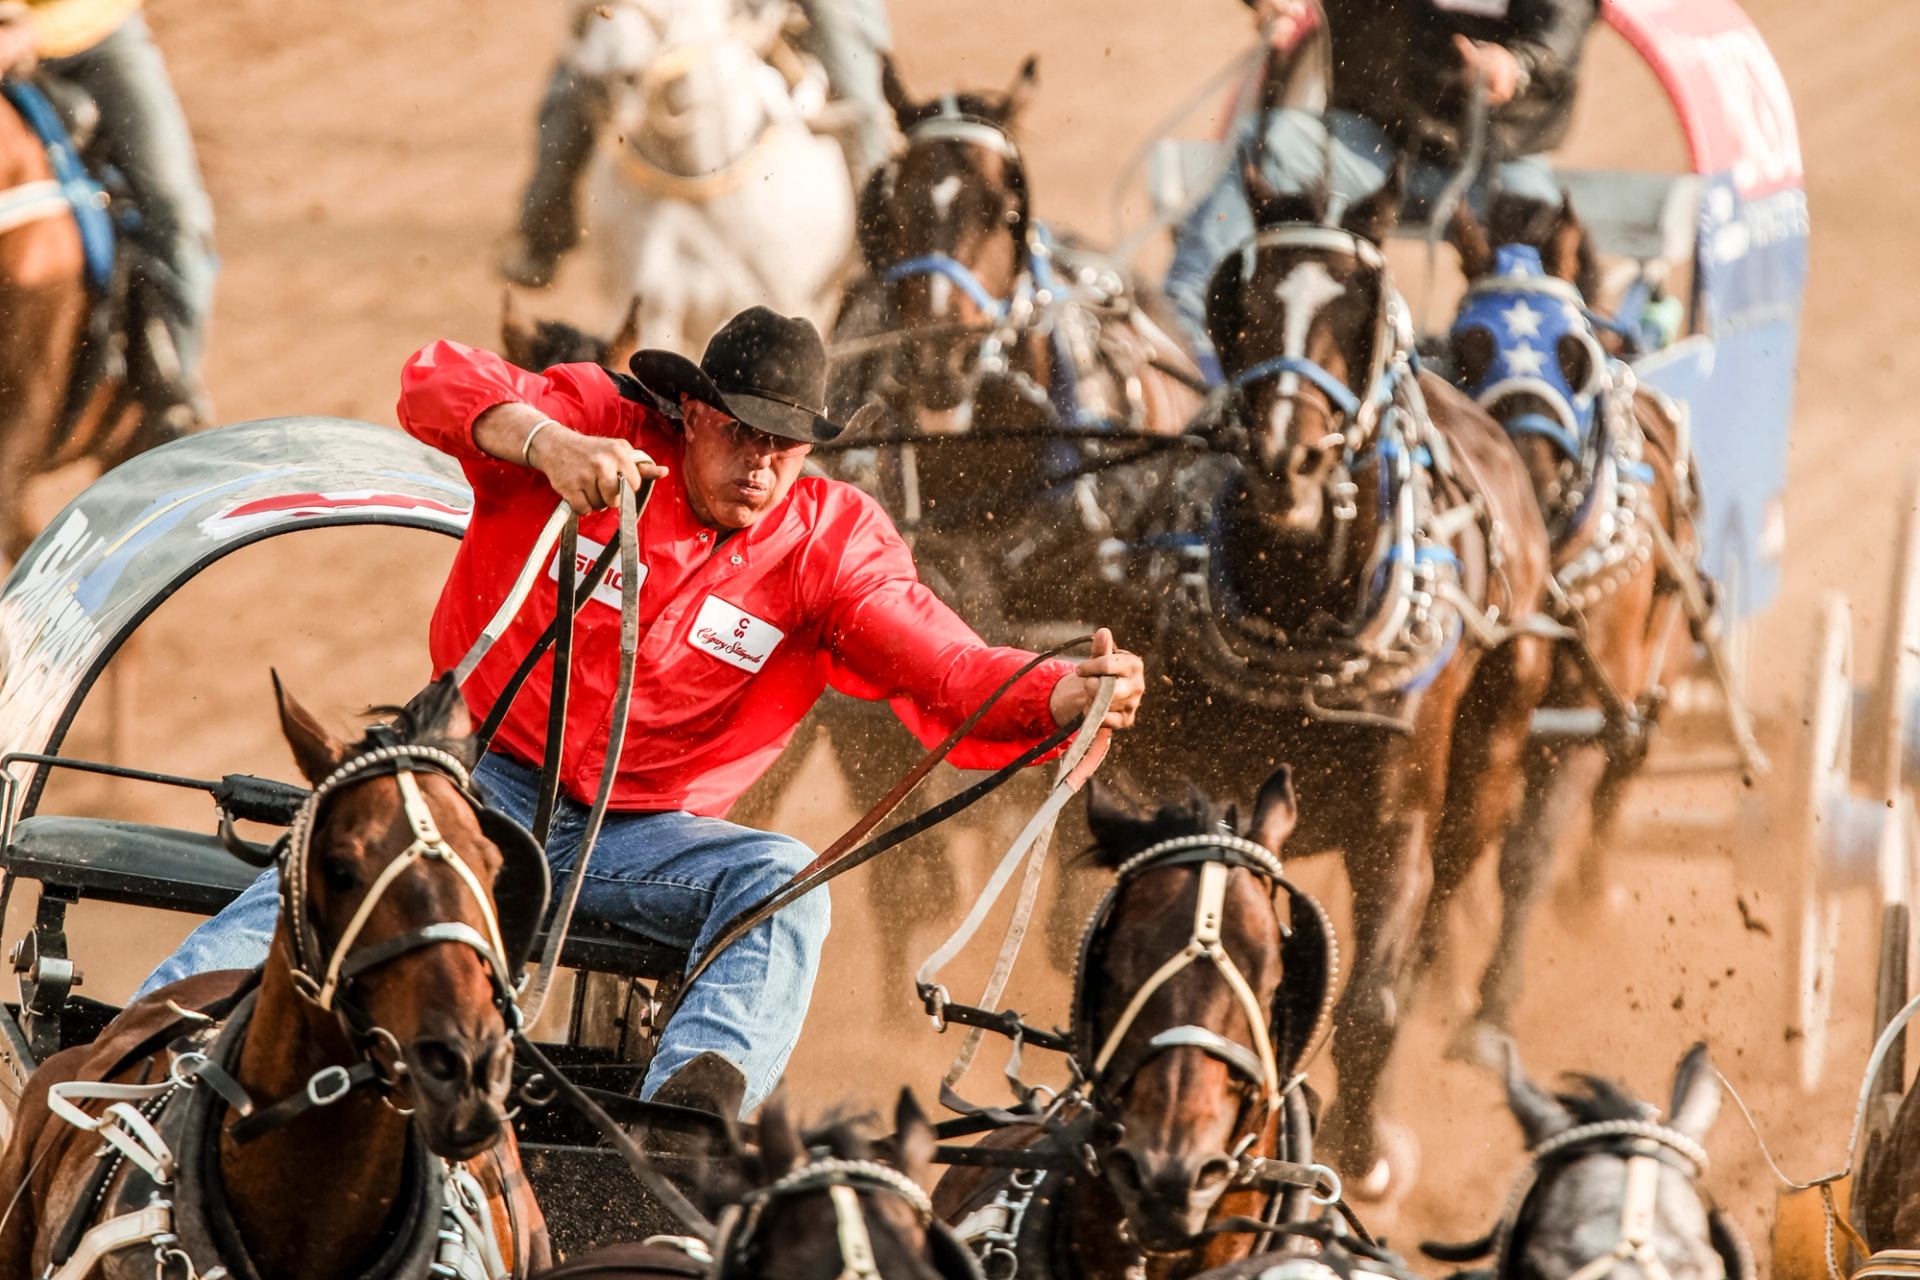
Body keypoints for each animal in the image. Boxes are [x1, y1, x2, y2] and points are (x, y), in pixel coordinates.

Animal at [1121, 165, 1551, 1197]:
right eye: (1238, 303)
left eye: (1359, 312)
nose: (1290, 464)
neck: (1299, 607)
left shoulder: (1396, 824)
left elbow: (1371, 1005)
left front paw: (1367, 1154)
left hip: (1495, 750)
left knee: (1457, 885)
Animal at [1443, 195, 1704, 1051]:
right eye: (1467, 345)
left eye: (1571, 353)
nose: (1526, 464)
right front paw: (1439, 974)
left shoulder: (1577, 720)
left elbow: (1527, 855)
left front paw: (1491, 1009)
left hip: (1656, 679)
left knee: (1621, 776)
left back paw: (1588, 900)